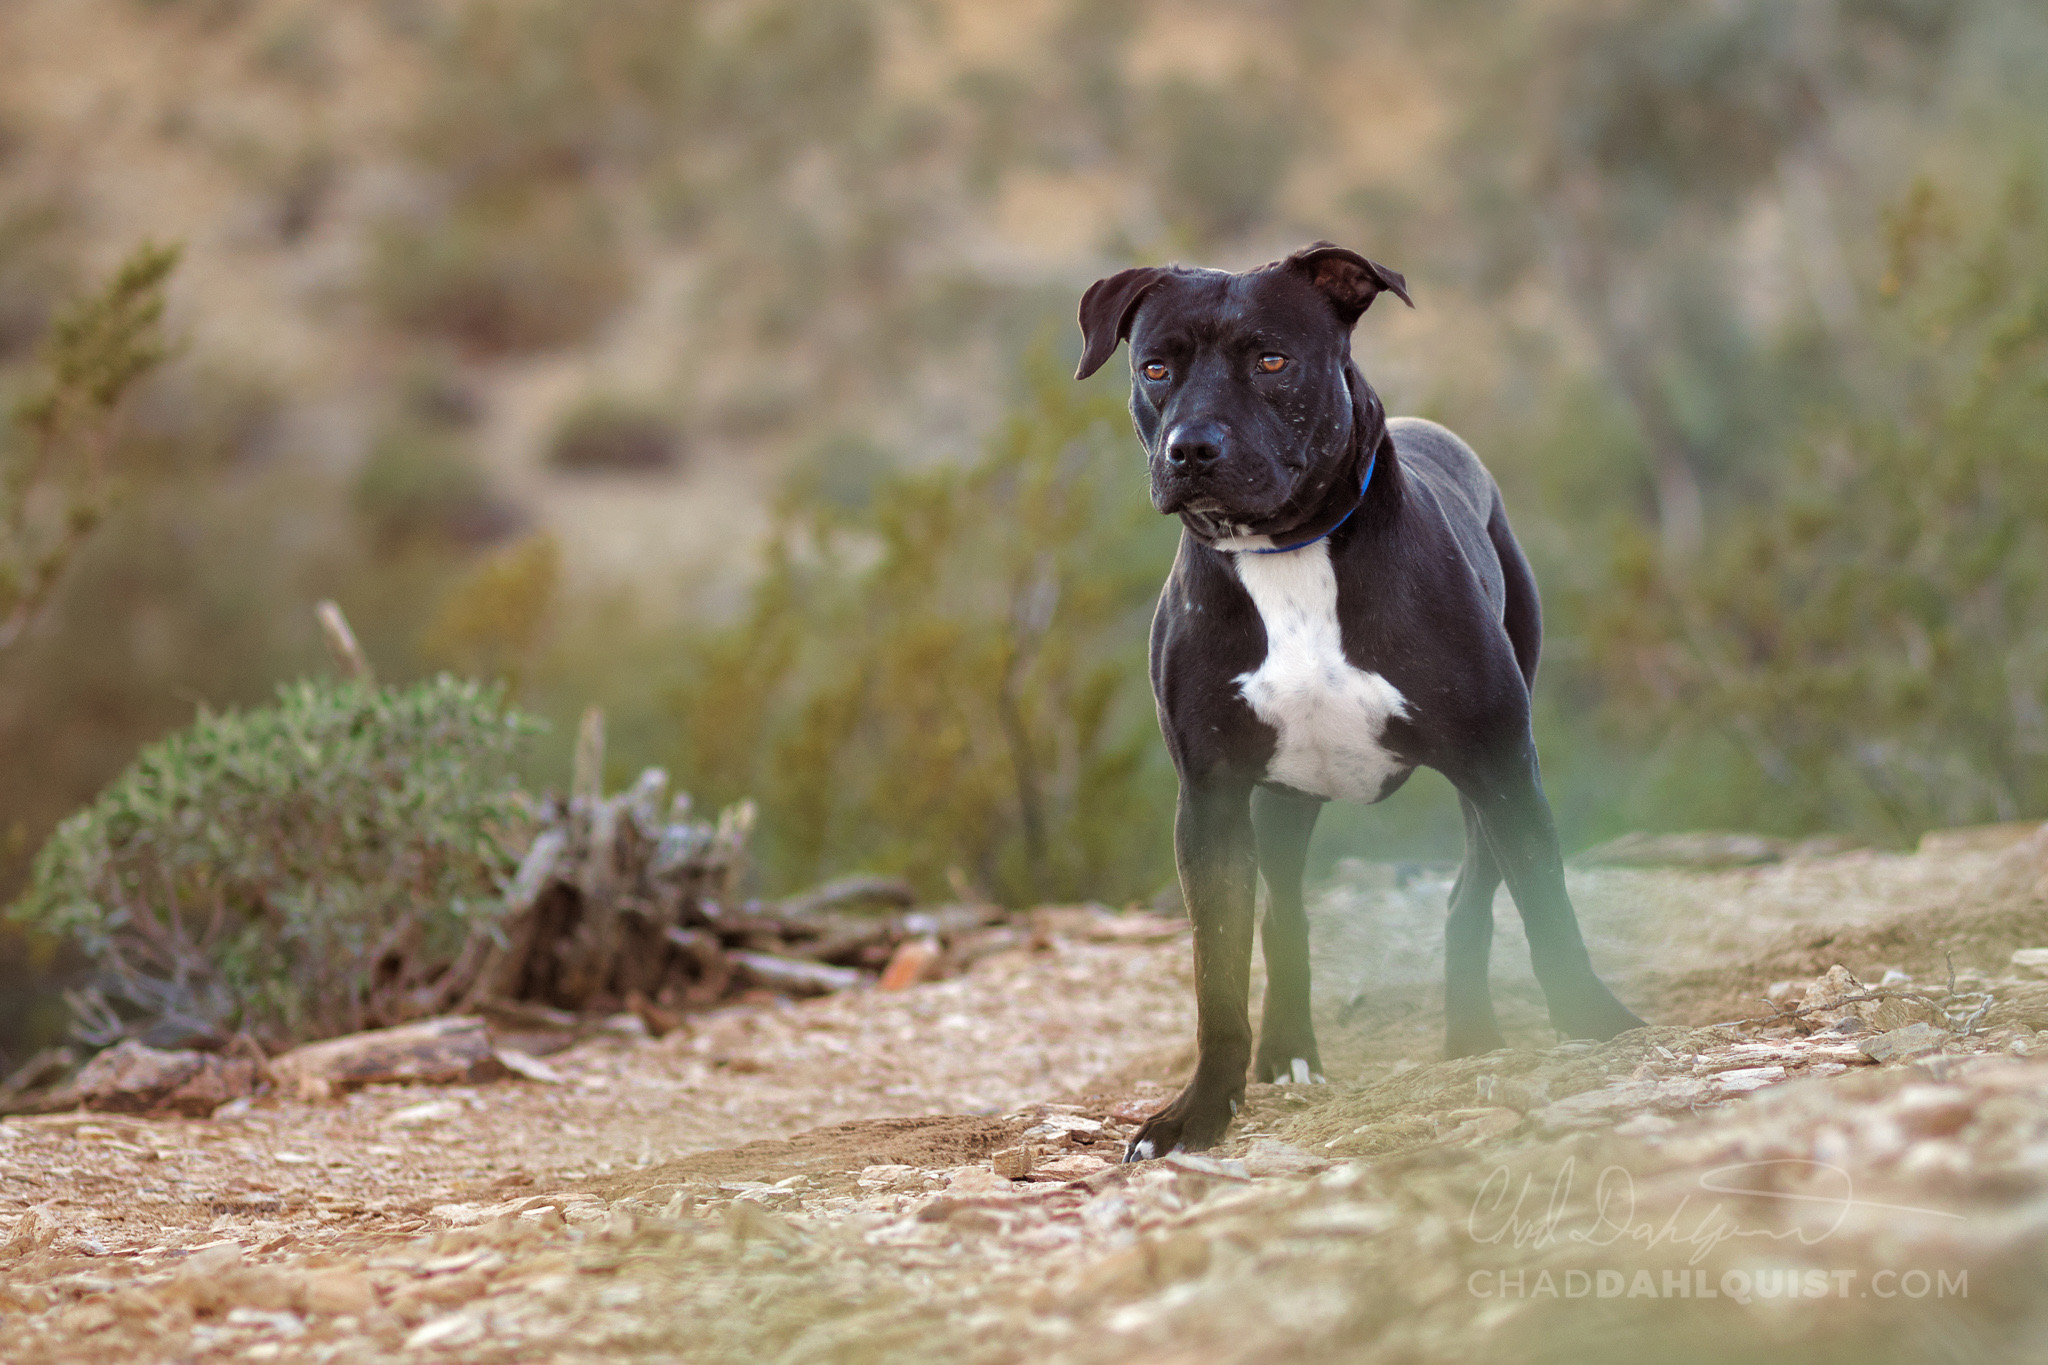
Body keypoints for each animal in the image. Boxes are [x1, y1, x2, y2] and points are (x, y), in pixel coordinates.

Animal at [1081, 240, 1638, 1162]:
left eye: (1272, 360)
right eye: (1156, 367)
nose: (1191, 448)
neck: (1289, 556)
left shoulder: (1500, 761)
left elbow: (1548, 909)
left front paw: (1596, 1024)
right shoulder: (1212, 800)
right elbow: (1218, 973)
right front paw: (1198, 1110)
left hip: (1488, 782)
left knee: (1469, 898)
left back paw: (1471, 1035)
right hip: (1282, 804)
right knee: (1285, 918)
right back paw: (1290, 1048)